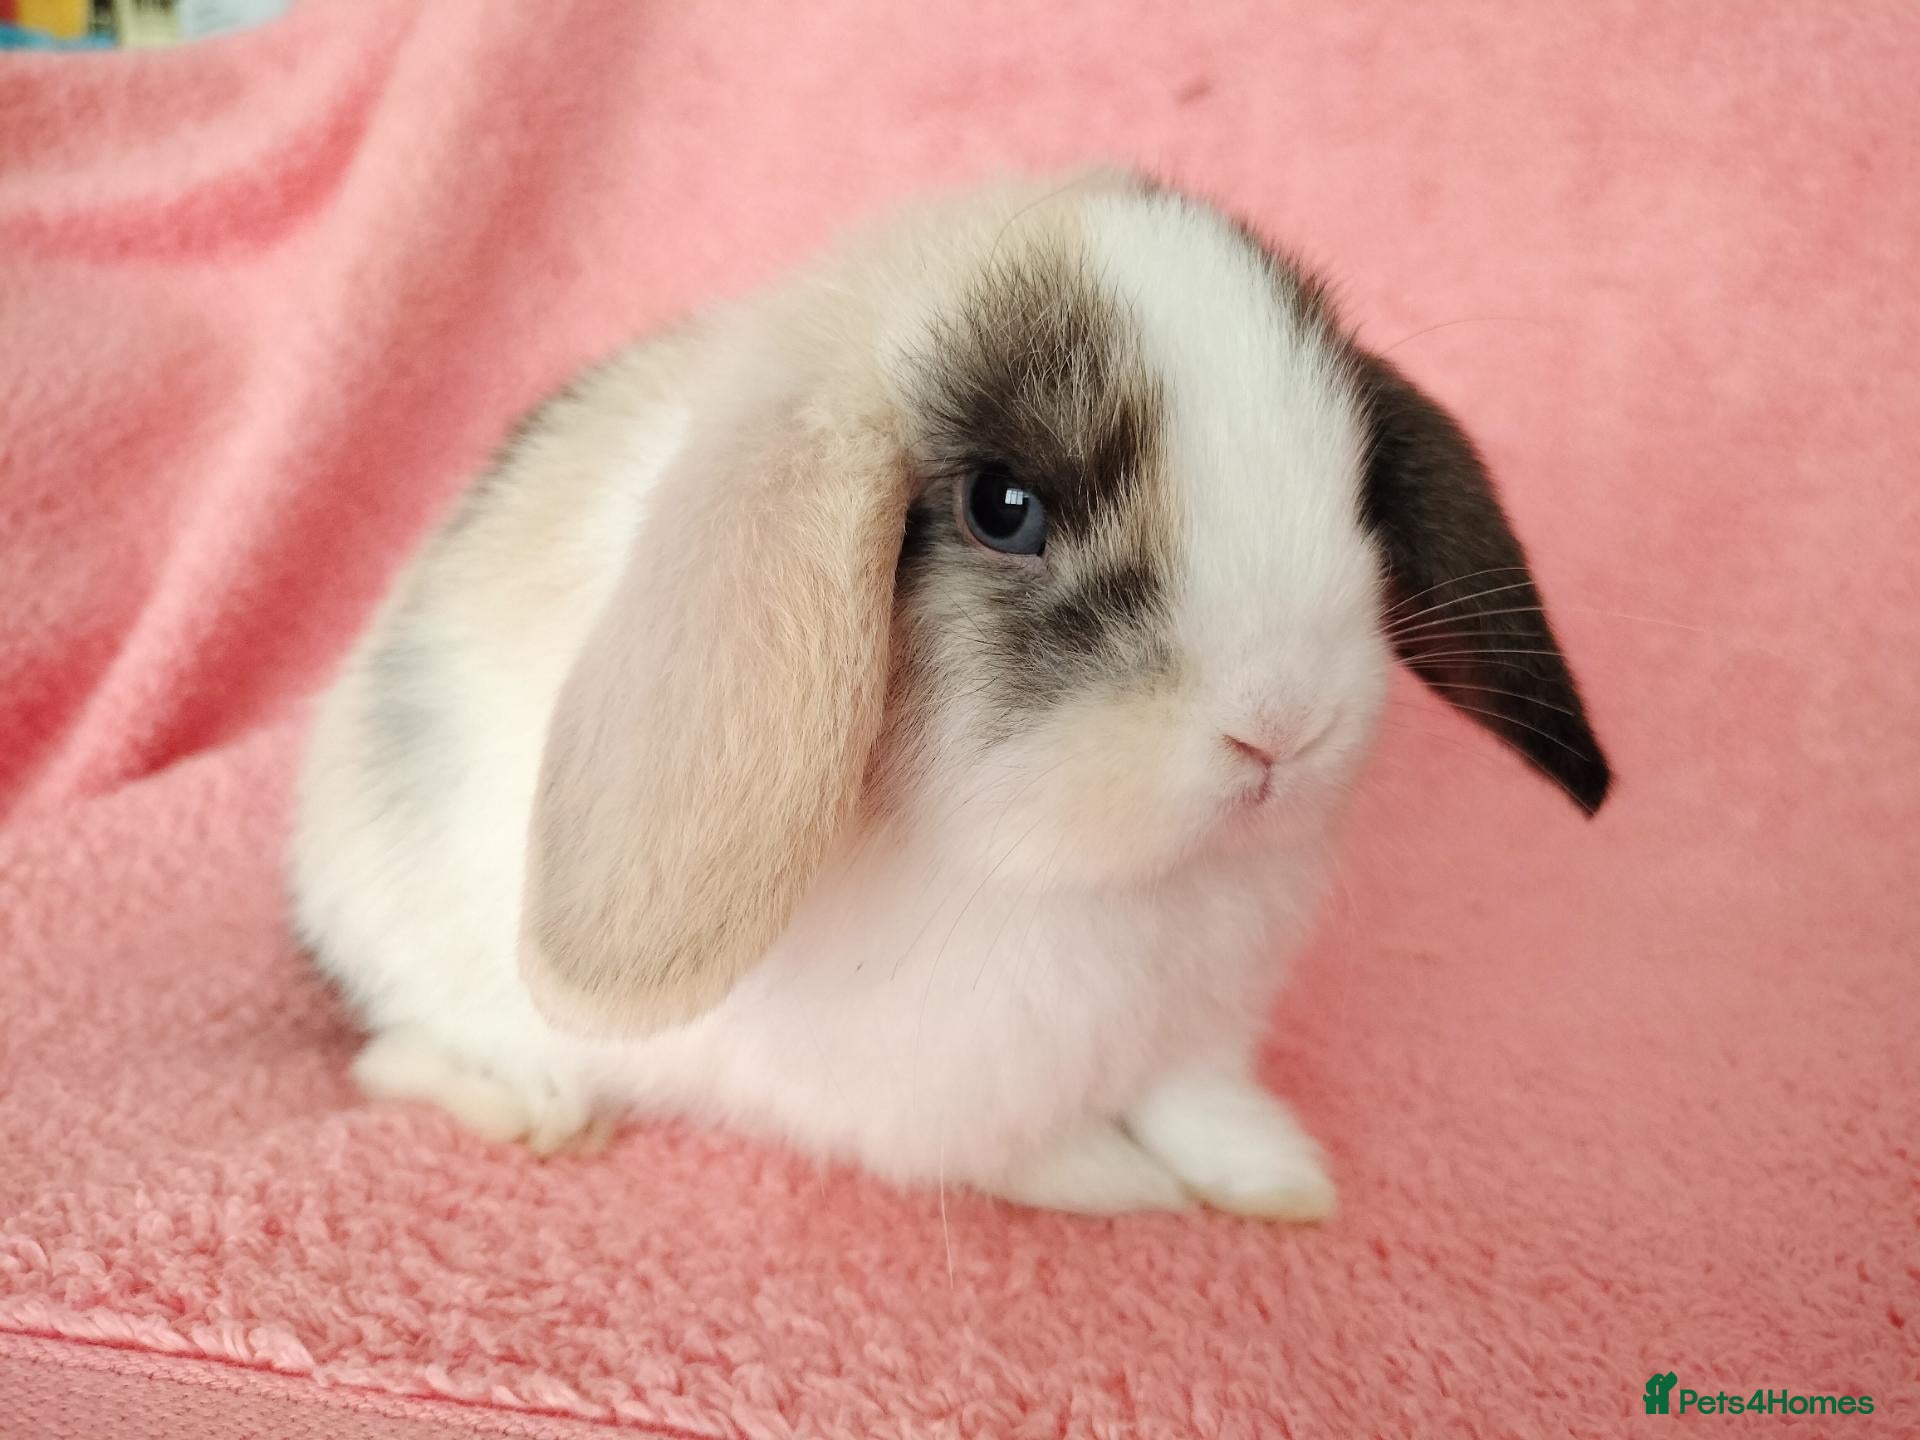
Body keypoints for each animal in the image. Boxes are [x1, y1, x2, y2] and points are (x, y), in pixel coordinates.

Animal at [289, 169, 1609, 1219]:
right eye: (1003, 508)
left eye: (1358, 481)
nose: (1283, 728)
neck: (1103, 888)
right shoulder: (937, 1098)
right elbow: (1031, 1151)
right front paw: (1125, 1186)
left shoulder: (1196, 1033)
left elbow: (1197, 1102)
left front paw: (1274, 1179)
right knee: (393, 1053)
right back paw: (541, 1107)